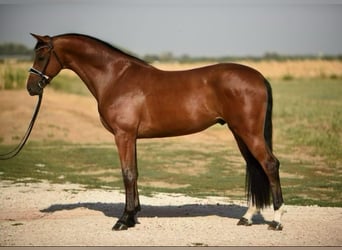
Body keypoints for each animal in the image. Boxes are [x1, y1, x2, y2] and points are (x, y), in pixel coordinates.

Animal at [26, 32, 284, 230]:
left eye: (41, 55)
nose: (31, 88)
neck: (115, 77)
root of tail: (258, 77)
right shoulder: (131, 137)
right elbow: (134, 172)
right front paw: (133, 216)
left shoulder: (123, 135)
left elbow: (127, 173)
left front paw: (123, 220)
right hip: (239, 131)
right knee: (254, 165)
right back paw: (247, 217)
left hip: (248, 132)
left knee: (269, 164)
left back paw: (277, 220)